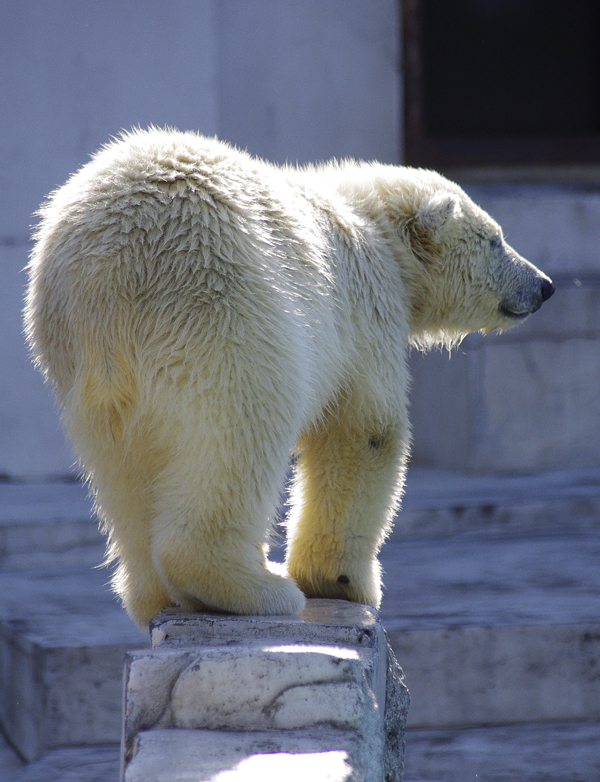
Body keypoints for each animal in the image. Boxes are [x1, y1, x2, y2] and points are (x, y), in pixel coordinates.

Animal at [25, 130, 556, 632]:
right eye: (495, 239)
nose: (545, 286)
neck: (370, 224)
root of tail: (105, 277)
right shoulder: (363, 308)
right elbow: (365, 430)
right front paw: (342, 582)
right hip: (220, 302)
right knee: (242, 429)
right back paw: (253, 585)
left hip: (83, 368)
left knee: (122, 469)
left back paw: (156, 595)